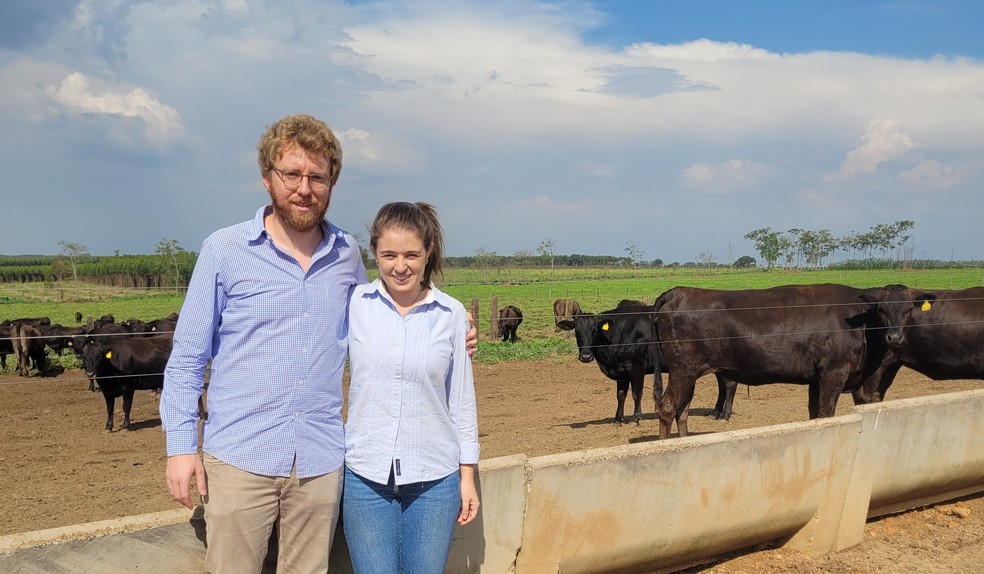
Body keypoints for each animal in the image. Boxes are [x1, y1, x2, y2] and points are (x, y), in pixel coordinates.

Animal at [652, 286, 884, 440]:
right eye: (883, 311)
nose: (892, 337)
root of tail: (678, 292)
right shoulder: (834, 373)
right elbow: (826, 413)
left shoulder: (817, 379)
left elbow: (815, 412)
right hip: (682, 370)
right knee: (668, 407)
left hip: (688, 373)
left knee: (683, 409)